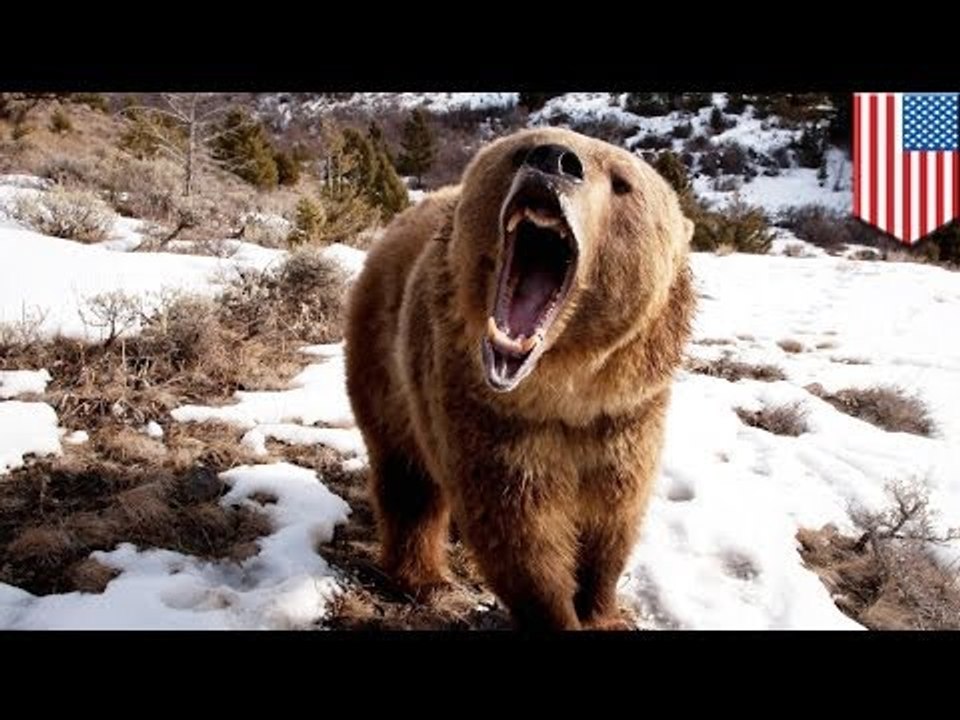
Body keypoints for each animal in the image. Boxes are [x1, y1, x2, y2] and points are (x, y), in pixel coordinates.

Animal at [344, 127, 695, 630]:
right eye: (522, 149)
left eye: (623, 182)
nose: (555, 160)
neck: (565, 390)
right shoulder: (490, 415)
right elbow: (520, 533)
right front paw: (557, 613)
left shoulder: (626, 417)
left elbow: (612, 521)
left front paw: (604, 610)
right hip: (386, 361)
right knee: (407, 476)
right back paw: (425, 578)